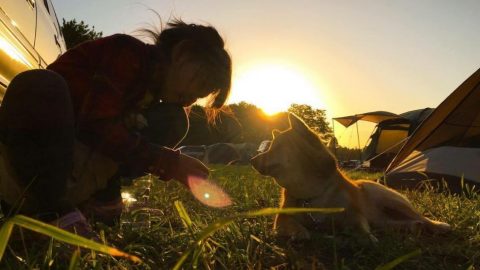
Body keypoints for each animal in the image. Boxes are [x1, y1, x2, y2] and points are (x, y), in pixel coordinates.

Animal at [249, 113, 452, 239]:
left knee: (421, 217)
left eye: (275, 147)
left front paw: (368, 238)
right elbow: (289, 223)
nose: (252, 159)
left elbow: (359, 226)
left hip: (390, 201)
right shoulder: (282, 217)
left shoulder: (354, 213)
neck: (311, 193)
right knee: (408, 222)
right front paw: (299, 232)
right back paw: (413, 227)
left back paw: (439, 226)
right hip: (382, 220)